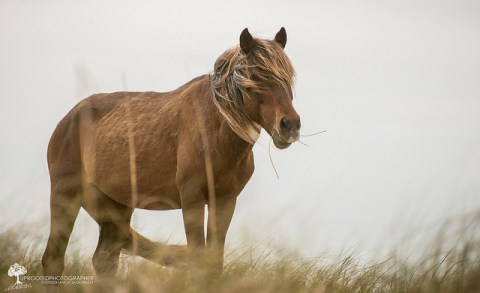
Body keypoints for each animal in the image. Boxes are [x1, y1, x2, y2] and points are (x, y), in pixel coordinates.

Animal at [43, 27, 302, 276]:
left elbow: (214, 263)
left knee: (104, 262)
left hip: (115, 207)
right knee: (53, 261)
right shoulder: (192, 199)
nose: (290, 125)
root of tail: (68, 119)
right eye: (256, 76)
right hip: (65, 194)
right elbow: (198, 261)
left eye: (288, 78)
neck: (213, 129)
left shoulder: (225, 201)